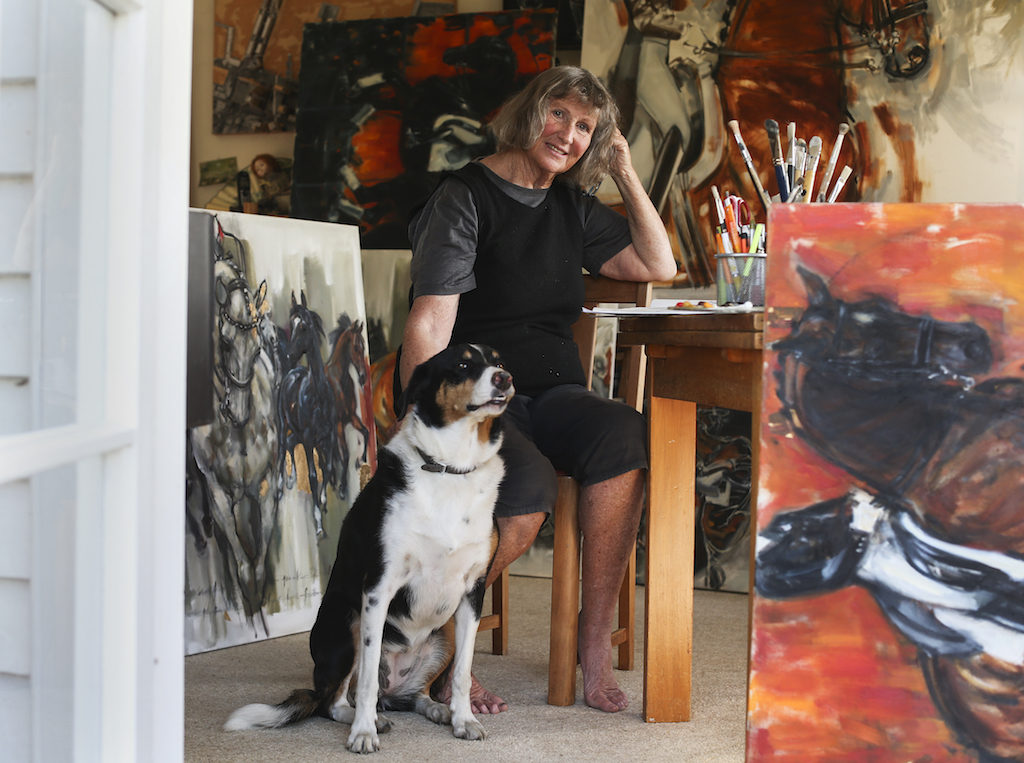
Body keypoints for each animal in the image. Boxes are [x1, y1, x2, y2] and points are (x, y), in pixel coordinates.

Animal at [224, 344, 512, 749]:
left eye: (498, 362)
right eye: (462, 364)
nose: (505, 379)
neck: (449, 468)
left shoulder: (473, 592)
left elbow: (462, 674)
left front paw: (463, 720)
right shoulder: (379, 588)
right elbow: (366, 683)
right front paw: (363, 733)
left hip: (445, 634)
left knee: (415, 695)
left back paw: (434, 710)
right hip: (350, 626)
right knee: (336, 700)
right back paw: (368, 719)